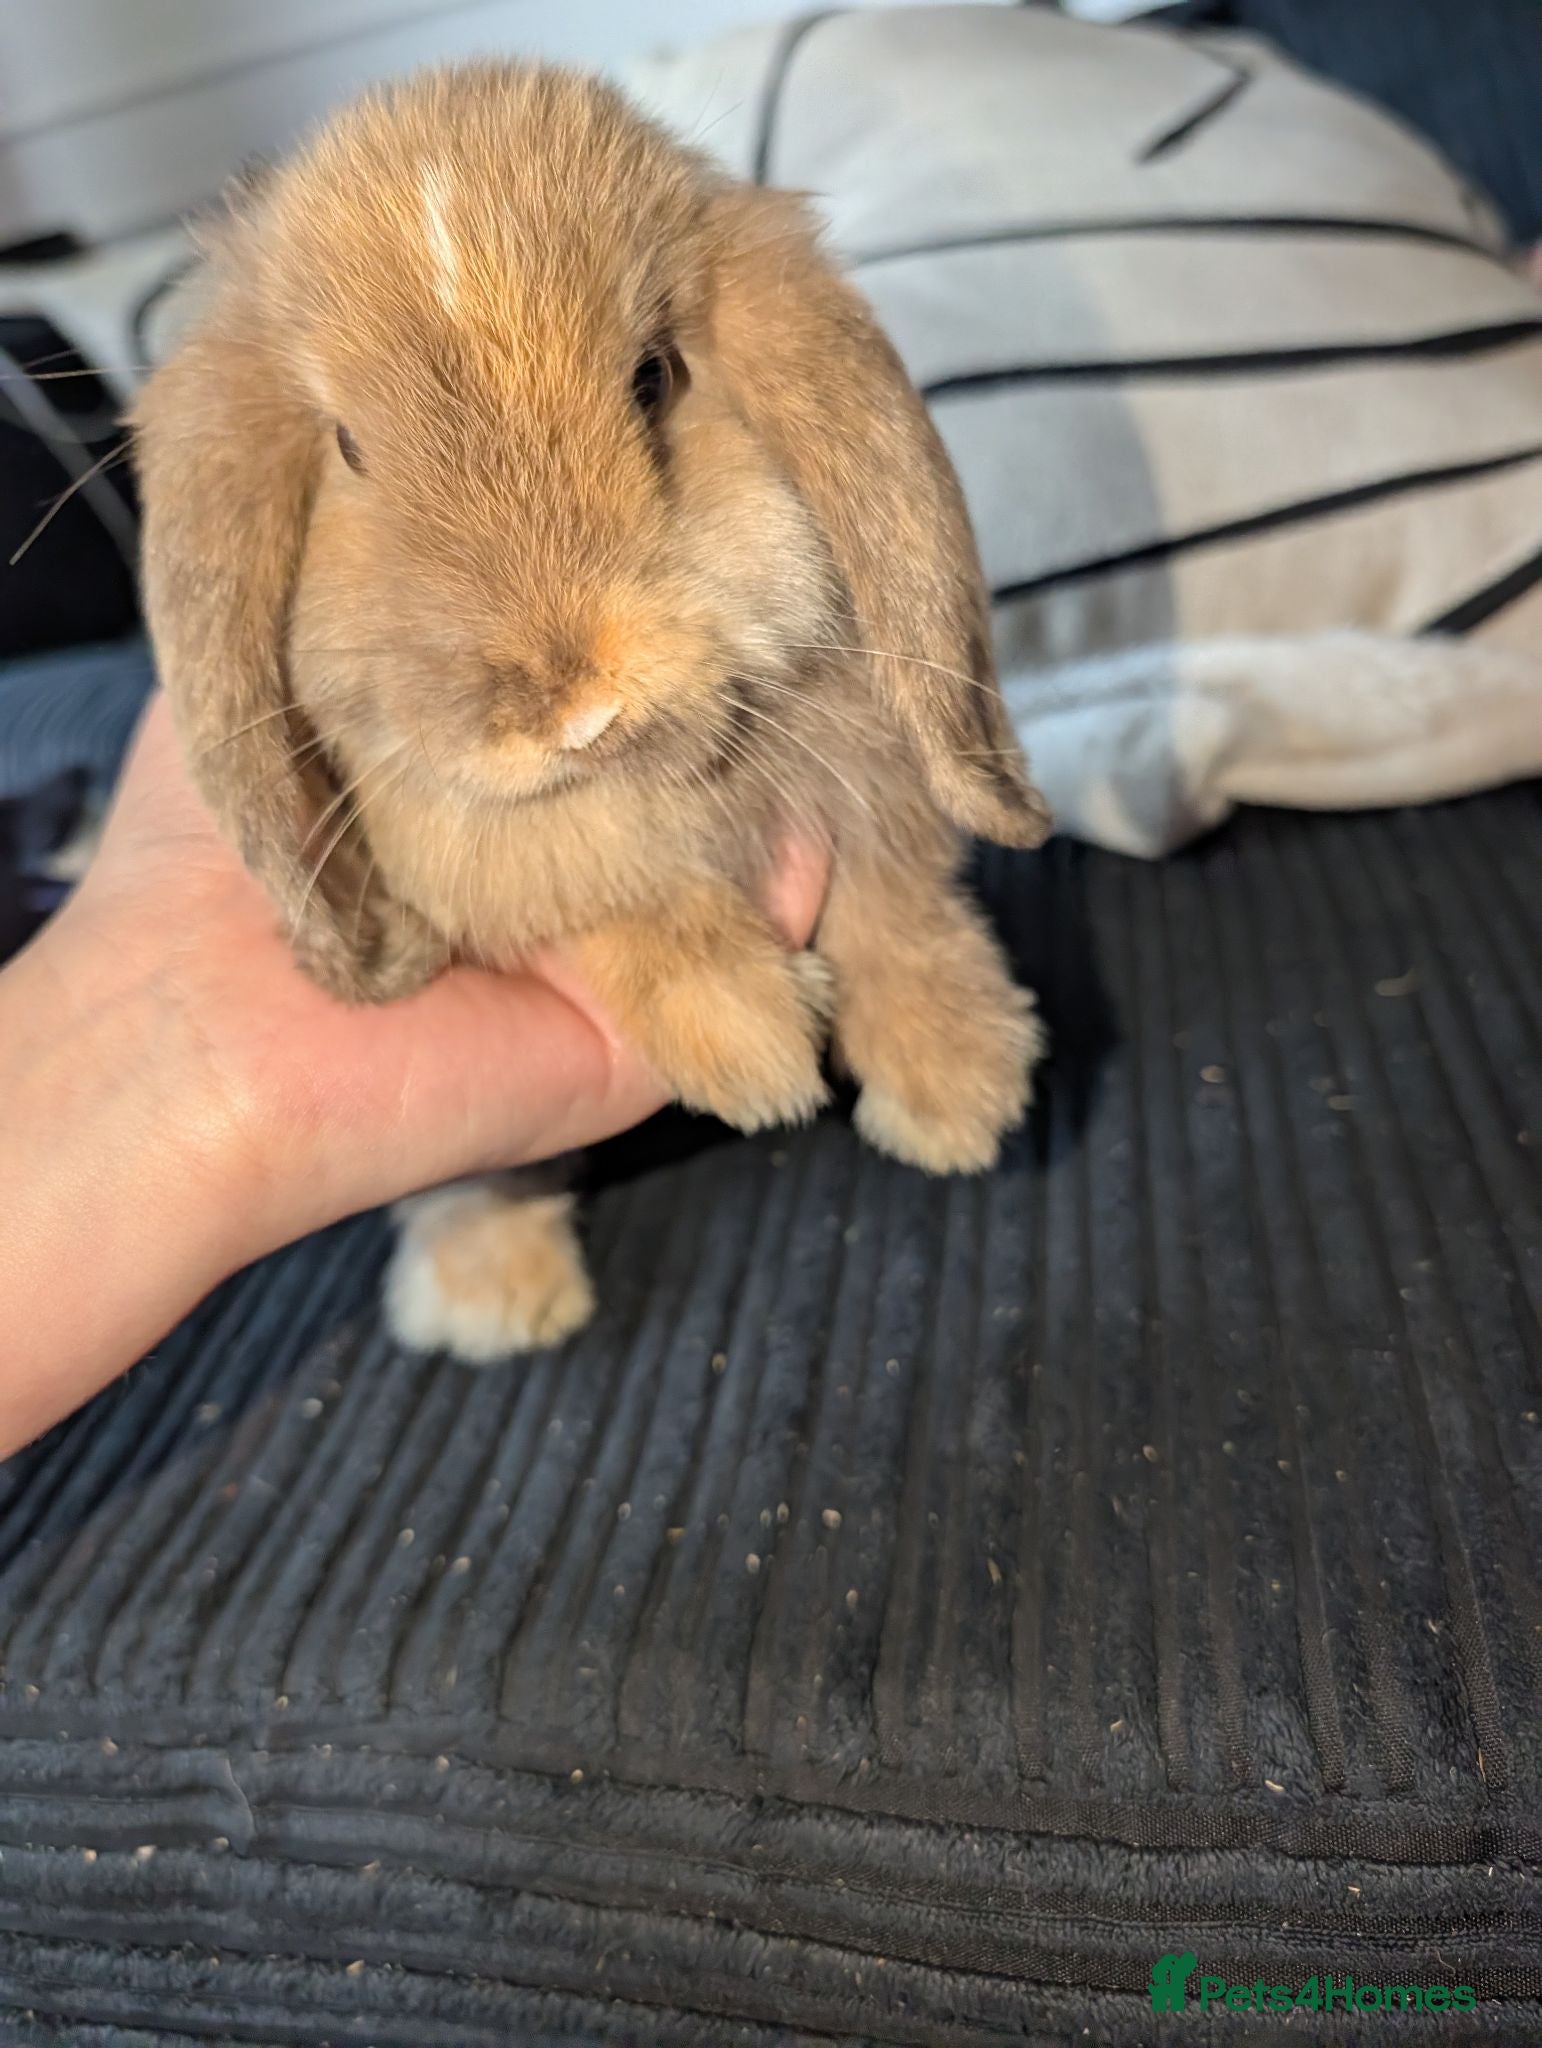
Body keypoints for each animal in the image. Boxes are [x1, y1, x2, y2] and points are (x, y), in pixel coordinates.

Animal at [133, 63, 1051, 1364]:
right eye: (348, 448)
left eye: (655, 376)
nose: (572, 704)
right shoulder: (495, 865)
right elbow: (621, 902)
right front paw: (748, 1039)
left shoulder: (869, 777)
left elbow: (896, 900)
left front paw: (958, 1088)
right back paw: (495, 1295)